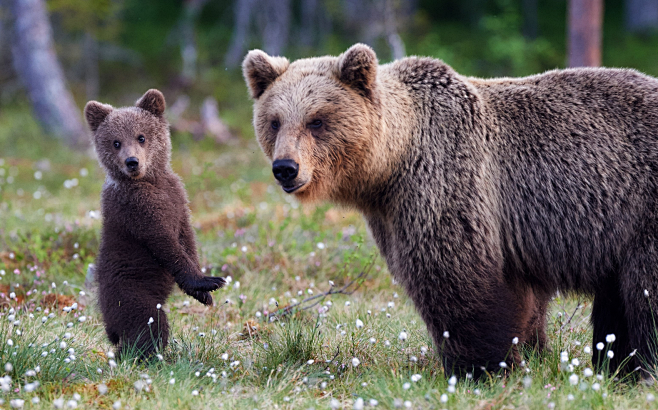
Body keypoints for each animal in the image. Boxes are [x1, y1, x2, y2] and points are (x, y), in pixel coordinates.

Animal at [243, 43, 656, 380]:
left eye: (317, 120)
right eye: (274, 121)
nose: (286, 168)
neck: (390, 167)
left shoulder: (448, 185)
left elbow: (458, 281)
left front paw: (480, 368)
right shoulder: (394, 213)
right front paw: (529, 355)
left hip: (643, 209)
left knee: (644, 294)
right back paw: (618, 367)